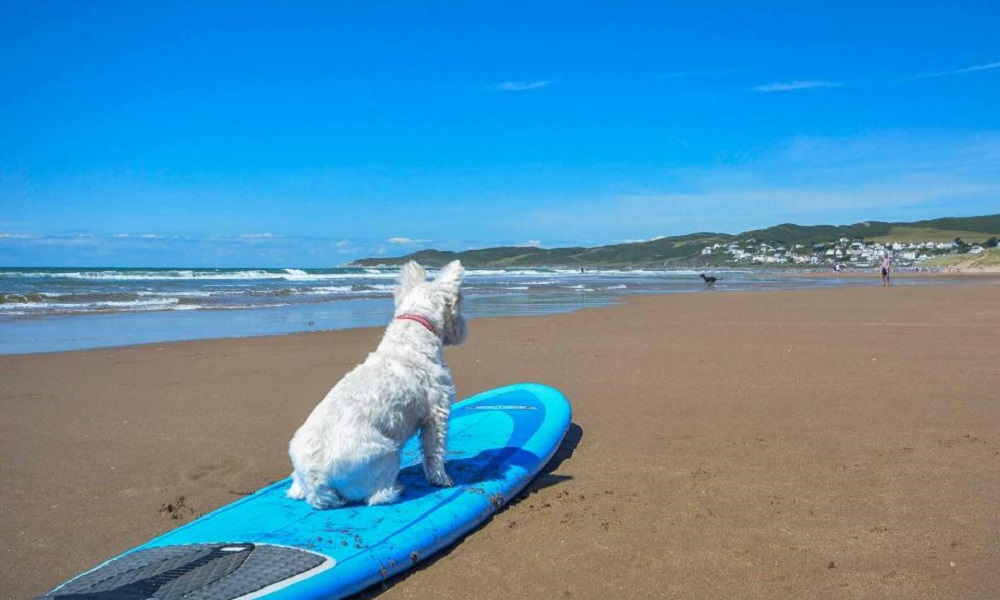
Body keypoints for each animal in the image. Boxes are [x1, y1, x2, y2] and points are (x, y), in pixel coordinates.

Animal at [286, 260, 464, 508]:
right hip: (387, 454)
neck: (413, 332)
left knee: (295, 487)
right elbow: (435, 451)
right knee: (376, 496)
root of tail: (317, 483)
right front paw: (441, 478)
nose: (464, 329)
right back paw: (397, 488)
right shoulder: (437, 414)